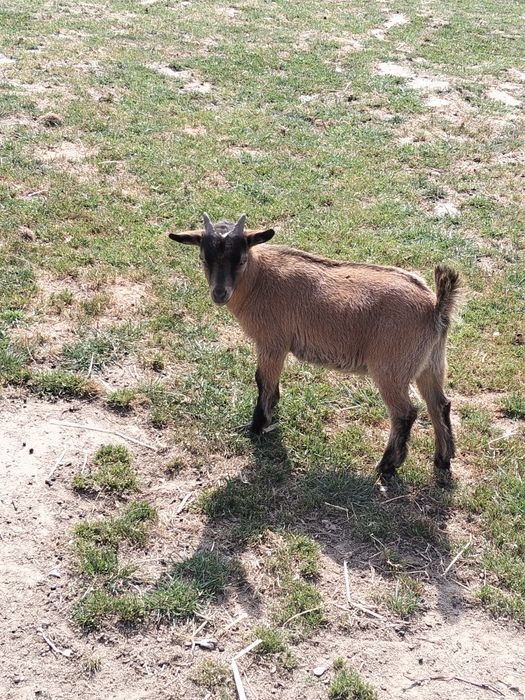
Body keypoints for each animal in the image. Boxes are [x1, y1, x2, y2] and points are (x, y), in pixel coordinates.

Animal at [169, 213, 460, 481]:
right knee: (440, 404)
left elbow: (262, 380)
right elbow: (272, 381)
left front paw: (257, 426)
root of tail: (435, 306)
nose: (220, 294)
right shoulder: (278, 346)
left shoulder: (272, 342)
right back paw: (442, 460)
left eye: (240, 259)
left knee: (405, 413)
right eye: (203, 258)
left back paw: (387, 465)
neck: (258, 279)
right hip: (431, 363)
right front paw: (273, 409)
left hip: (391, 368)